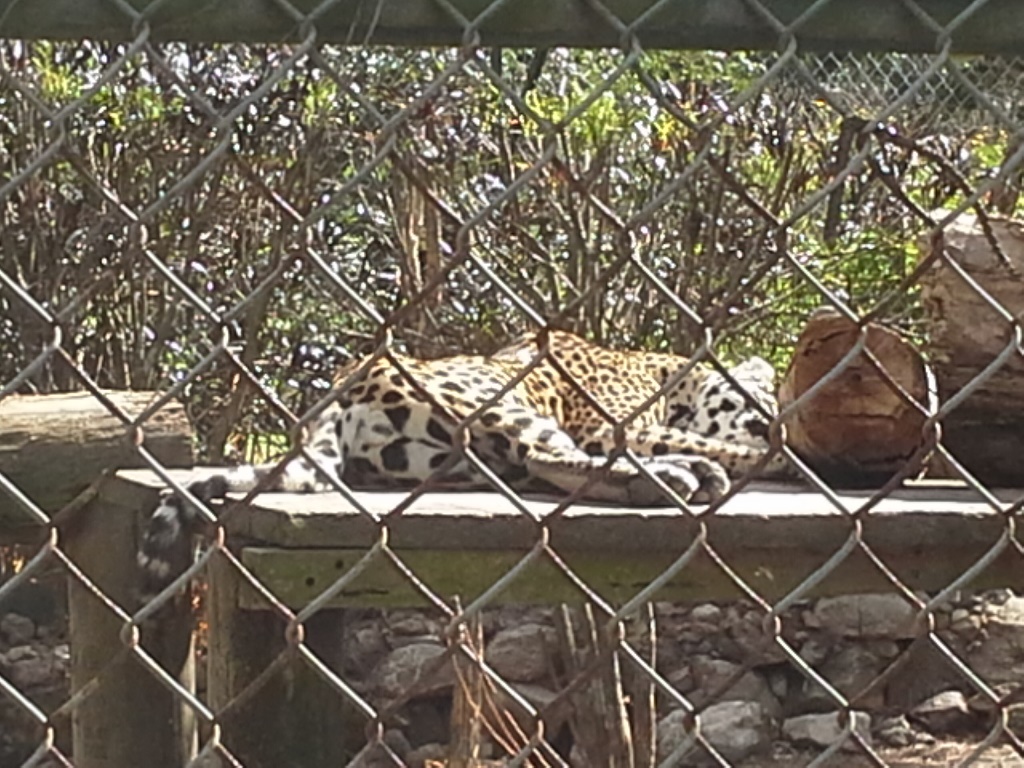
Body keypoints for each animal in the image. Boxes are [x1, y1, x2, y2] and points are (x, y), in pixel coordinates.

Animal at [137, 330, 791, 600]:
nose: (781, 415)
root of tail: (344, 389)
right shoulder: (611, 423)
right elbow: (716, 444)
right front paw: (774, 455)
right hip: (499, 403)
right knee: (551, 457)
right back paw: (675, 477)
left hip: (454, 458)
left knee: (542, 467)